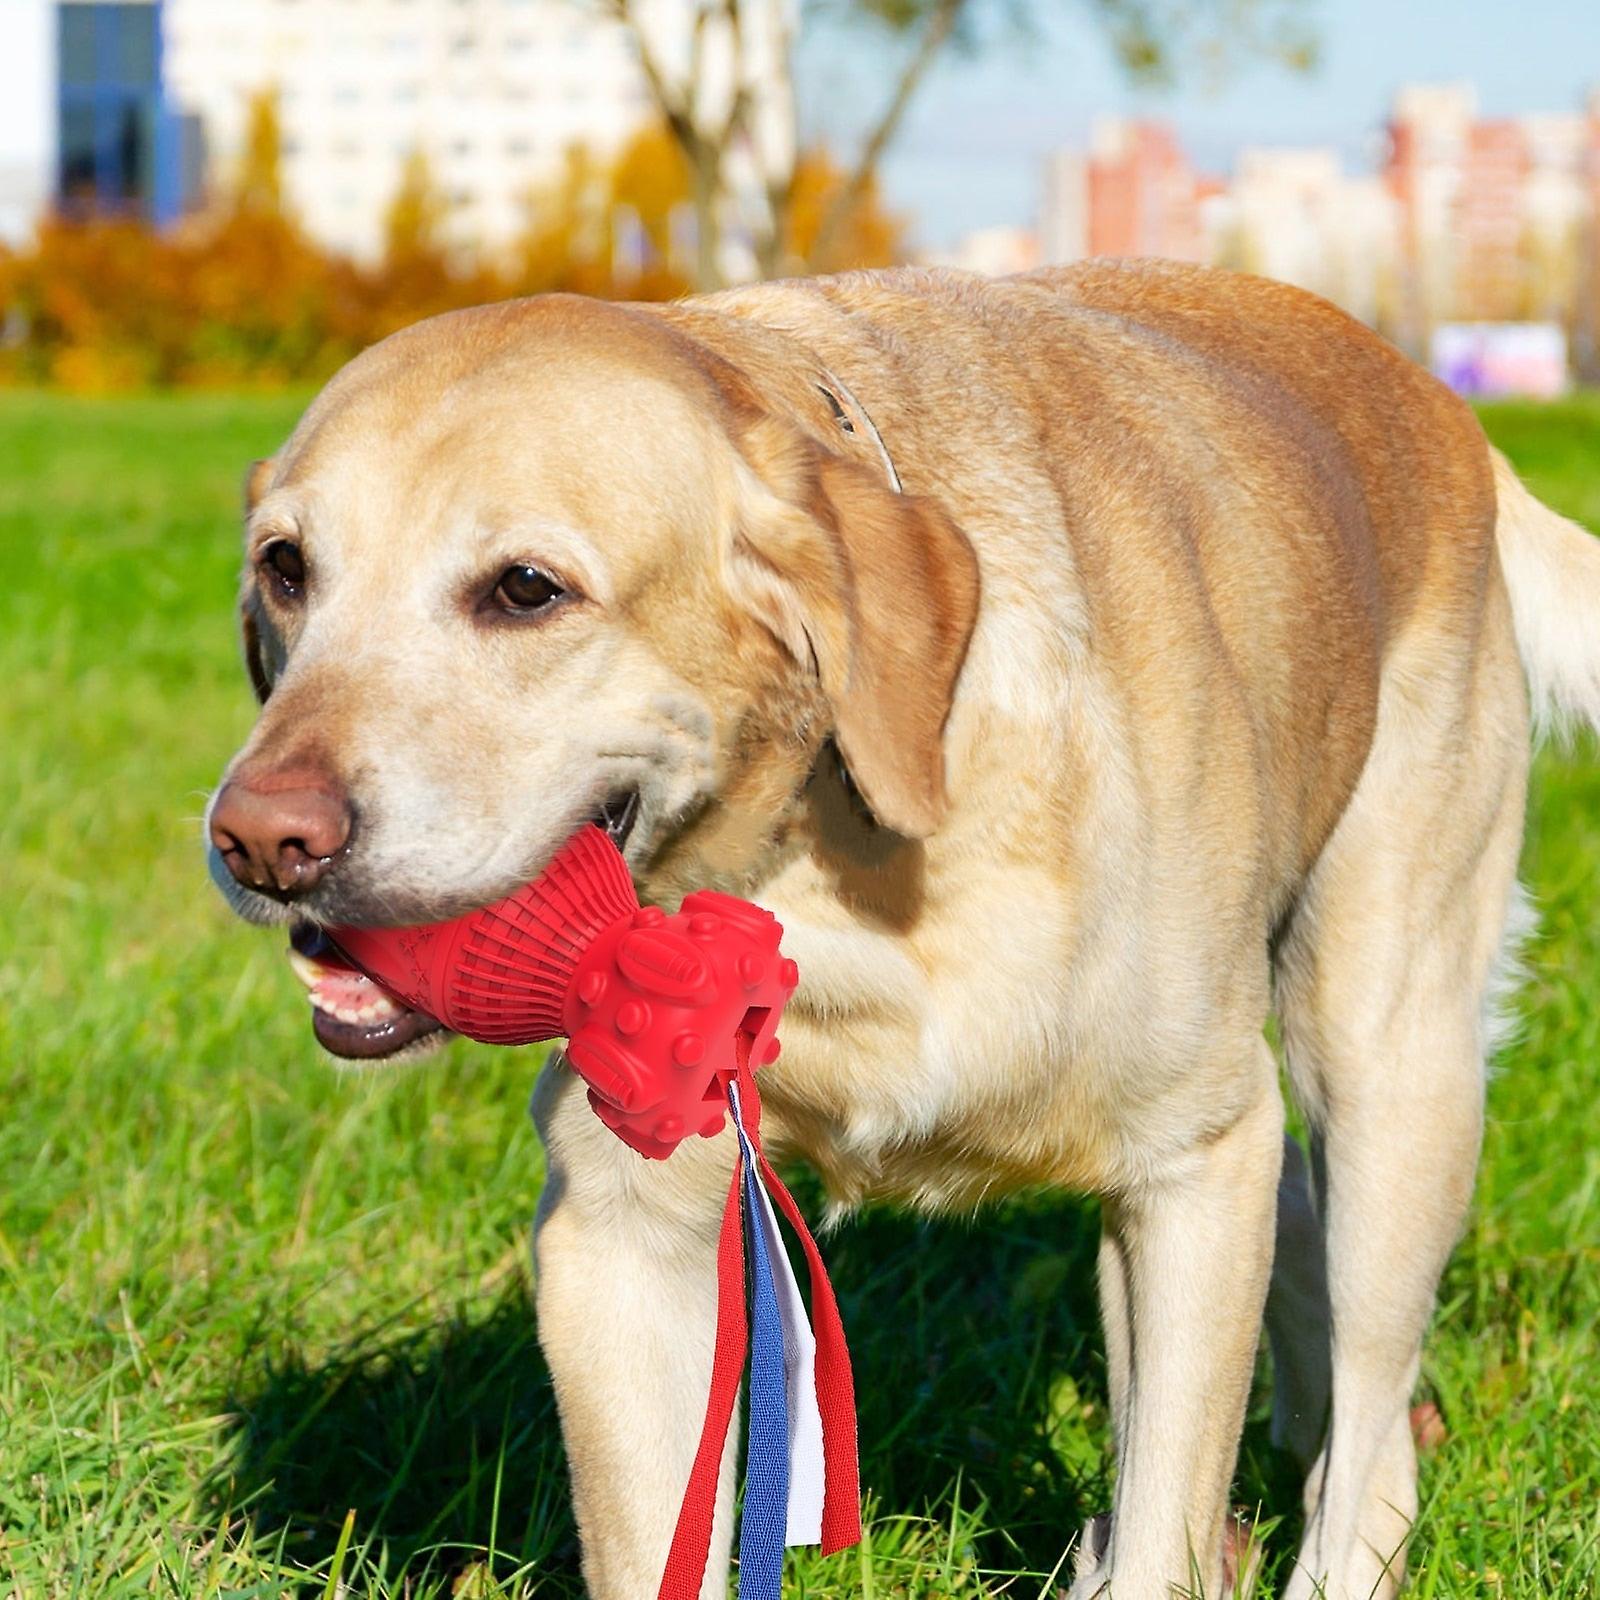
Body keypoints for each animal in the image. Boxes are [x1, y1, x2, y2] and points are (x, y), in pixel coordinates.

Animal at [209, 265, 1600, 1600]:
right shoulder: (621, 1229)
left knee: (1365, 1416)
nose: (259, 839)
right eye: (285, 568)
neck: (832, 843)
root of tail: (1442, 407)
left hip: (1382, 1071)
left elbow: (1164, 1524)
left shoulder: (1189, 1167)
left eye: (525, 590)